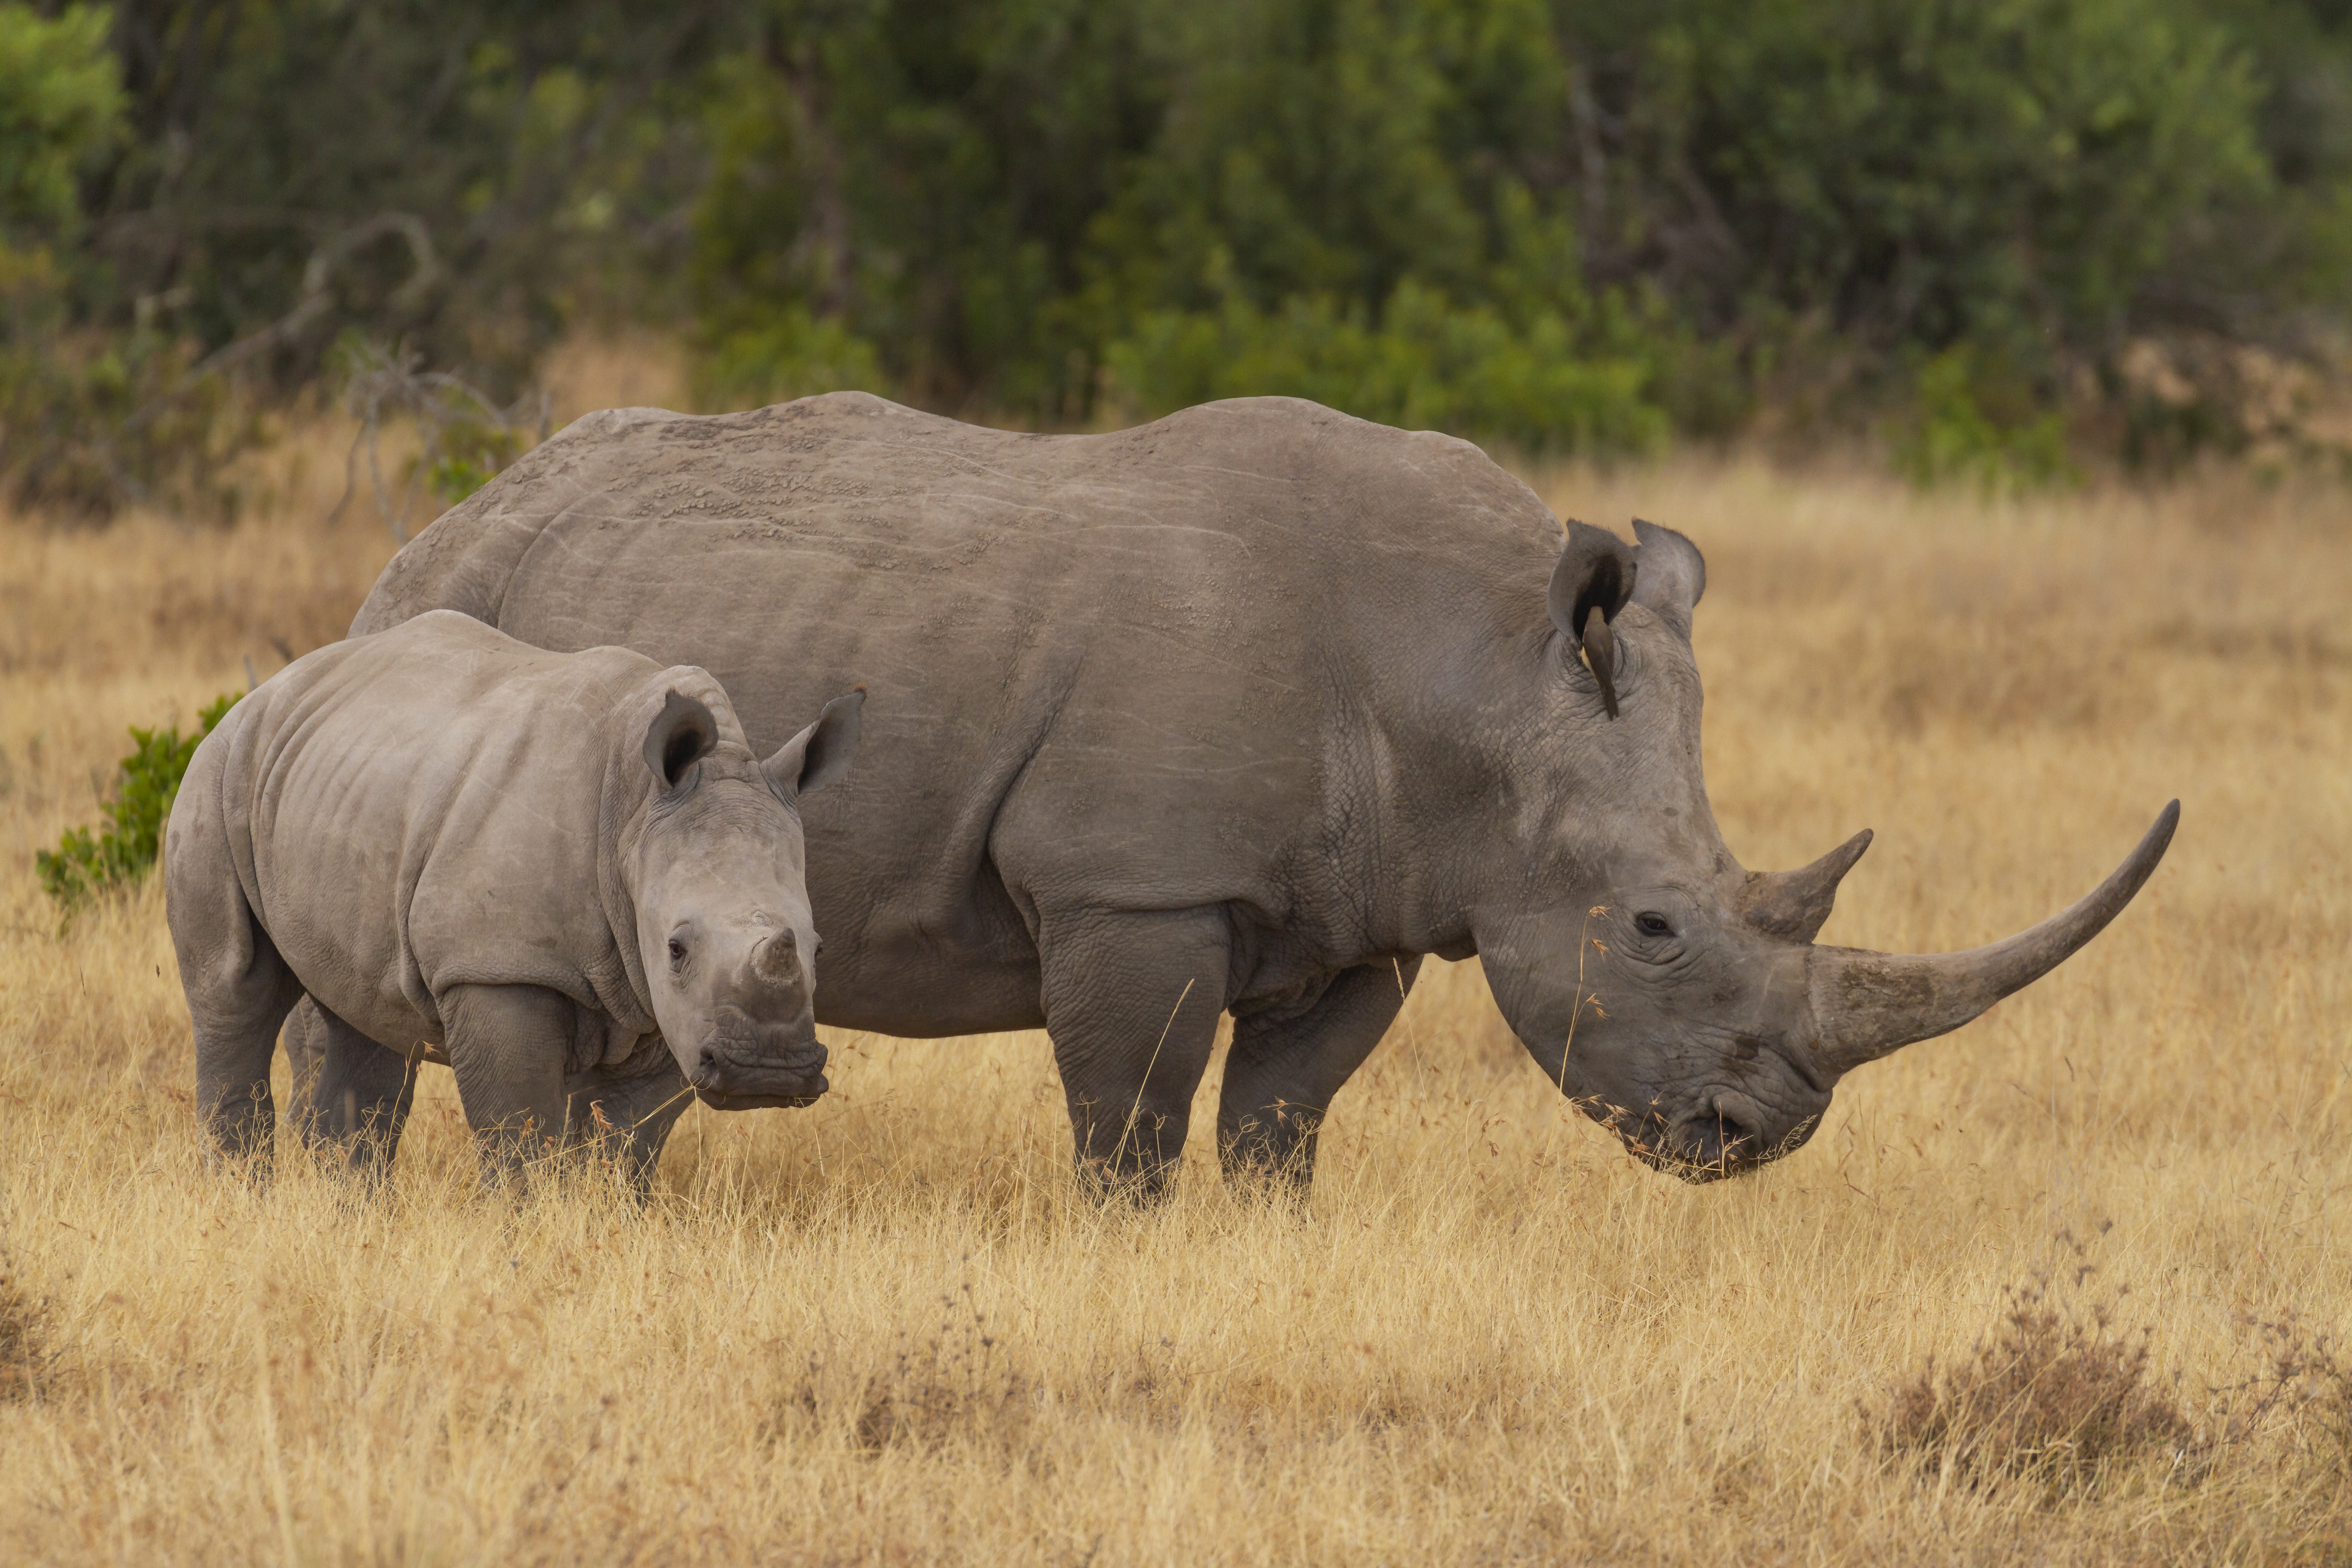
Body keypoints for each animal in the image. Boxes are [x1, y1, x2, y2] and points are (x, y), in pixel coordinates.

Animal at [166, 606, 865, 1185]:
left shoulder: (665, 1007)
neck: (634, 815)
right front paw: (523, 1228)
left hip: (340, 783)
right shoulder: (499, 964)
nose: (769, 1075)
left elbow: (627, 1143)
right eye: (676, 948)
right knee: (234, 990)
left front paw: (604, 1221)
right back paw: (242, 1196)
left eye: (818, 948)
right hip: (218, 773)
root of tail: (267, 691)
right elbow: (518, 1131)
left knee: (364, 1014)